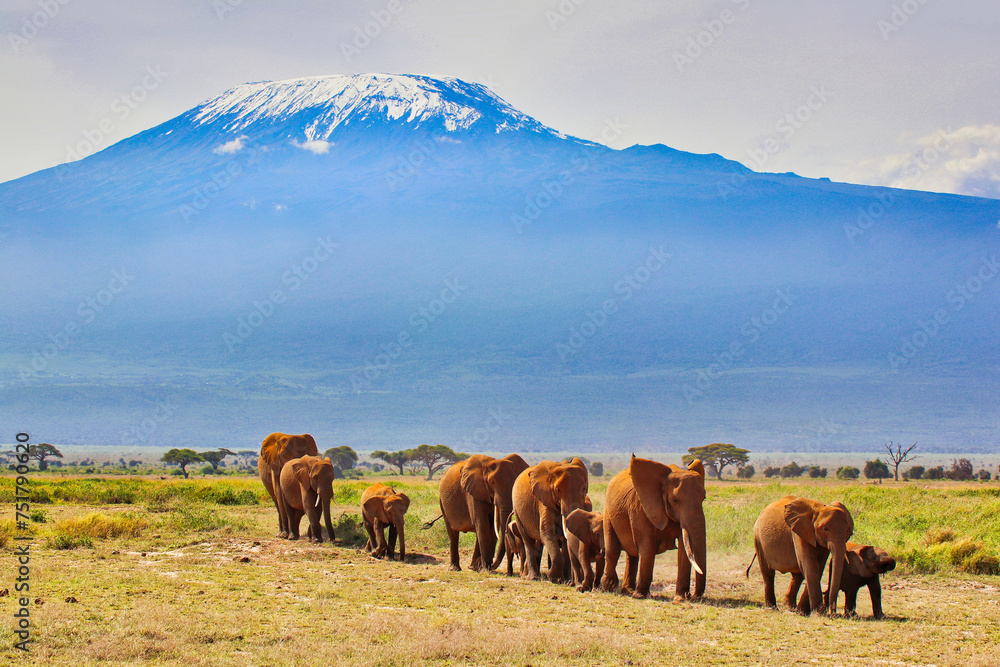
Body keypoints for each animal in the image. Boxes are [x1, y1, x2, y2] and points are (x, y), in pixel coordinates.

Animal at [600, 456, 704, 604]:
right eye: (675, 500)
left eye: (703, 498)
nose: (693, 596)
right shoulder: (641, 508)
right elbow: (647, 545)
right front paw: (640, 596)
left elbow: (684, 549)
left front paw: (680, 598)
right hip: (608, 513)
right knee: (613, 550)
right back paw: (608, 589)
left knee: (632, 554)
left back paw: (628, 591)